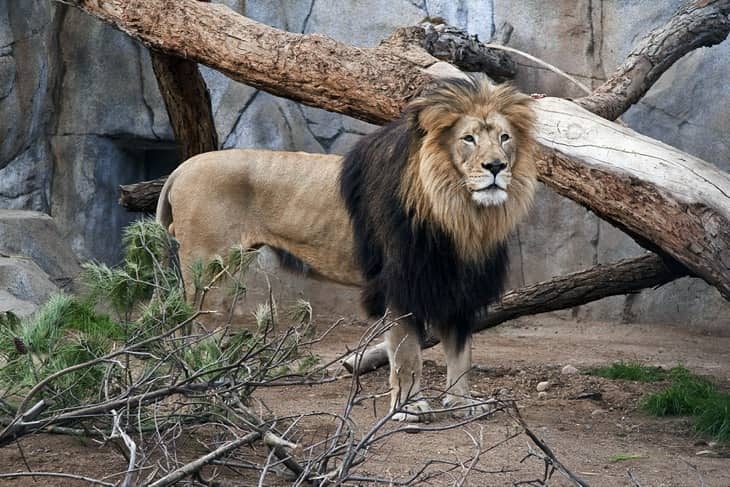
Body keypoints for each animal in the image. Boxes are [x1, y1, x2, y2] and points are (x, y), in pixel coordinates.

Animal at [158, 75, 536, 424]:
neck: (463, 214)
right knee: (193, 334)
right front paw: (409, 409)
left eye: (504, 138)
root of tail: (181, 167)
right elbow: (407, 356)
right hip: (210, 273)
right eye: (468, 139)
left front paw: (463, 404)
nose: (496, 167)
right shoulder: (399, 287)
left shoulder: (458, 288)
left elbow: (461, 355)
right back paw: (210, 394)